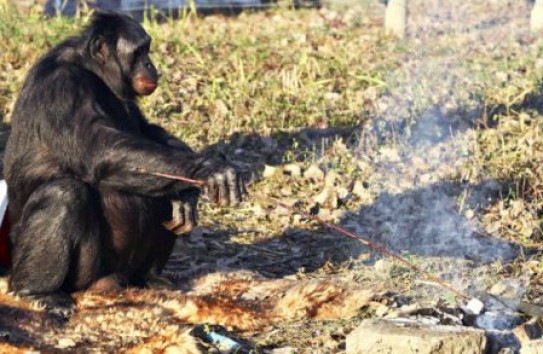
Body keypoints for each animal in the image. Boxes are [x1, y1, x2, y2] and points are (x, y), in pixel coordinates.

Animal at [2, 11, 246, 316]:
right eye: (139, 51)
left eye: (147, 49)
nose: (150, 63)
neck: (94, 72)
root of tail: (111, 282)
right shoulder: (63, 87)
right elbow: (98, 147)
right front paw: (207, 171)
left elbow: (146, 130)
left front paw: (189, 192)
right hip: (82, 276)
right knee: (63, 194)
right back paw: (39, 292)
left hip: (124, 269)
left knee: (158, 189)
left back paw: (151, 278)